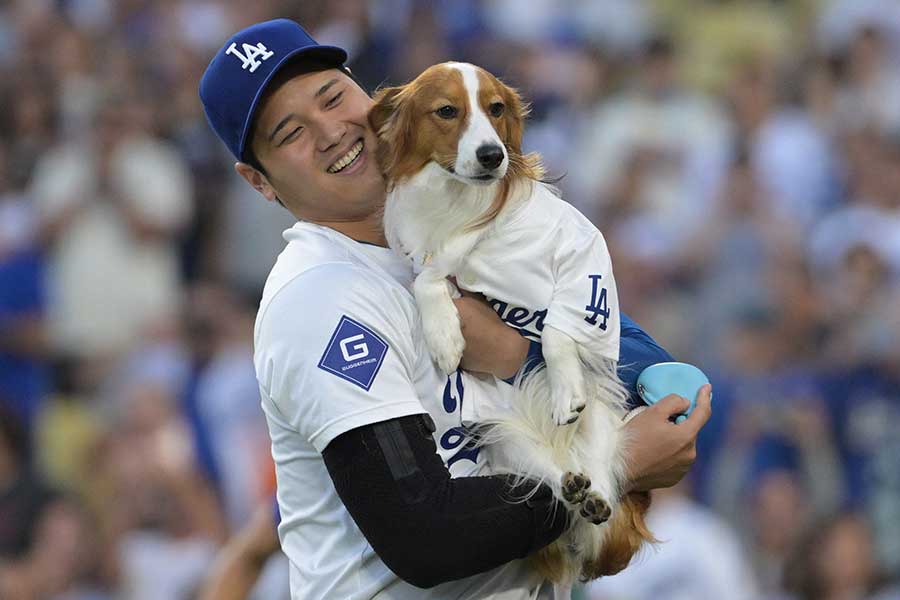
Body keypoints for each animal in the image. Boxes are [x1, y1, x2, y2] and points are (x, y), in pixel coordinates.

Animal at [368, 61, 652, 580]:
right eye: (447, 111)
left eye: (496, 108)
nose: (491, 155)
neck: (460, 204)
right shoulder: (431, 263)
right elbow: (428, 280)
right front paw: (445, 337)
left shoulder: (583, 258)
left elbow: (559, 331)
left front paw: (564, 389)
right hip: (504, 438)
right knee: (553, 477)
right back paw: (572, 486)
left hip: (604, 417)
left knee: (601, 469)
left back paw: (596, 494)